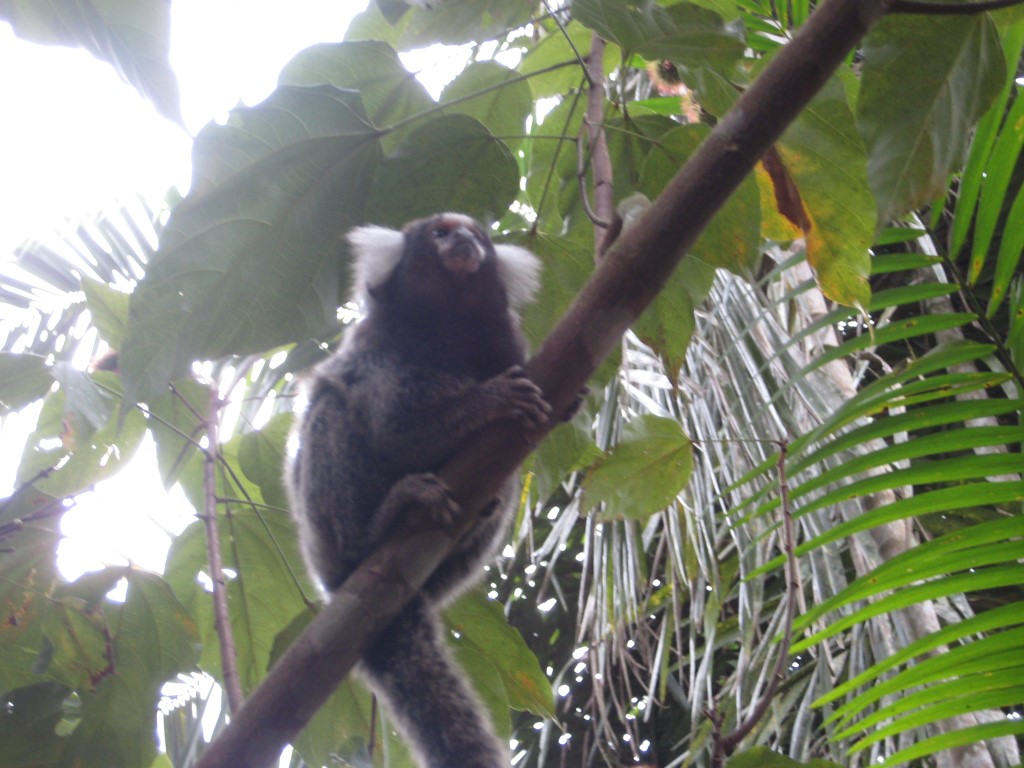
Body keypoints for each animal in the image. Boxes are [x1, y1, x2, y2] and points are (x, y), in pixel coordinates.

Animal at [285, 212, 551, 768]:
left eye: (477, 235)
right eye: (440, 233)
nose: (465, 241)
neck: (447, 324)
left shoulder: (504, 345)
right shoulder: (381, 350)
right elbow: (395, 428)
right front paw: (490, 400)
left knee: (504, 482)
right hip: (324, 539)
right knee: (332, 410)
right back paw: (378, 525)